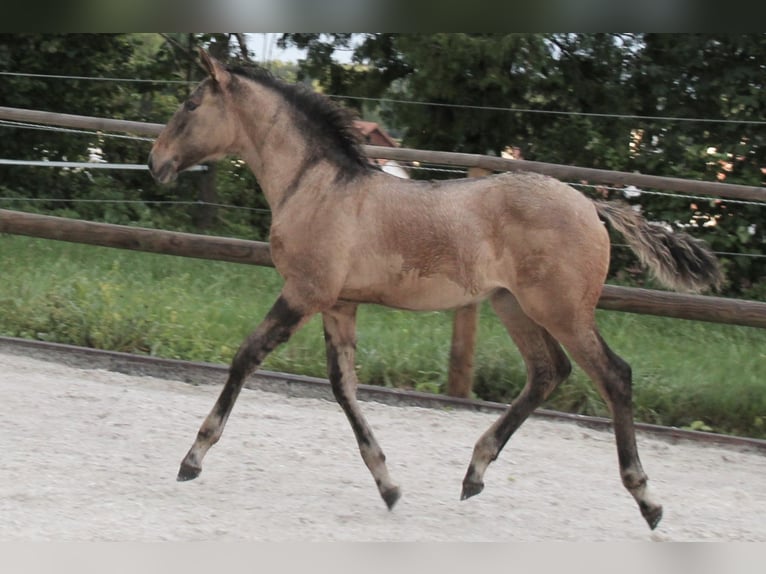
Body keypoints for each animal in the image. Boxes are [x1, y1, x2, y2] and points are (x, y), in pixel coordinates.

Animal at [146, 51, 728, 532]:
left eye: (192, 104)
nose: (156, 162)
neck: (317, 187)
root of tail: (592, 205)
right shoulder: (339, 303)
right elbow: (344, 386)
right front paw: (388, 486)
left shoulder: (305, 292)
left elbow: (246, 358)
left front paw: (192, 458)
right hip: (512, 304)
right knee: (549, 371)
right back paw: (475, 473)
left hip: (561, 309)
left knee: (613, 376)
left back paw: (647, 499)